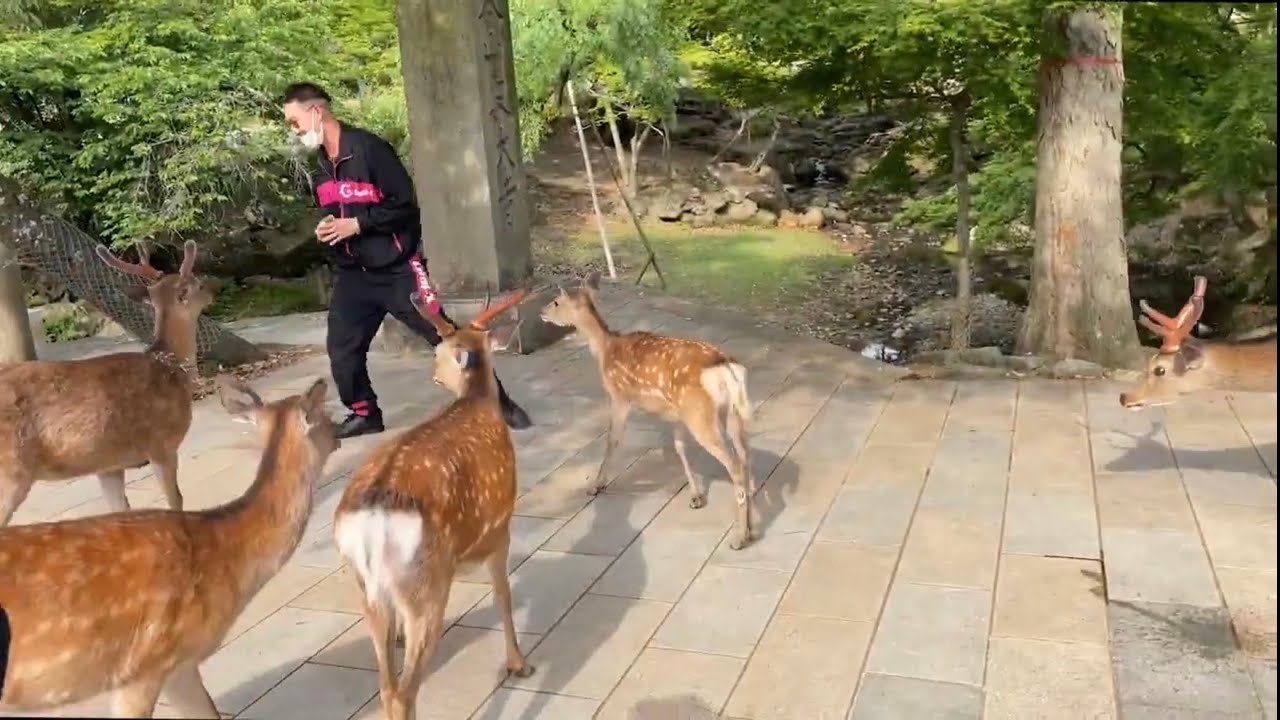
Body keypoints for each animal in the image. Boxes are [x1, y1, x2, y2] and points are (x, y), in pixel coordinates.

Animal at [0, 240, 212, 526]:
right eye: (196, 283)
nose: (212, 290)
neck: (171, 367)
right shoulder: (161, 444)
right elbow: (175, 500)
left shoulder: (109, 465)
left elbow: (120, 510)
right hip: (11, 470)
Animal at [333, 287, 535, 720]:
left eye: (439, 350)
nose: (435, 374)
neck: (475, 403)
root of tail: (372, 520)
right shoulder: (501, 522)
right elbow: (503, 595)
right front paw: (518, 663)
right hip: (426, 585)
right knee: (403, 692)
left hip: (364, 584)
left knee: (384, 685)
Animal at [539, 271, 758, 550]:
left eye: (556, 301)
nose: (541, 311)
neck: (605, 349)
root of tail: (726, 367)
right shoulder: (677, 414)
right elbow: (679, 447)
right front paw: (696, 496)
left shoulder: (619, 396)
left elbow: (613, 439)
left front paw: (596, 486)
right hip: (729, 413)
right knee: (745, 455)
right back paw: (751, 526)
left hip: (701, 415)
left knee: (735, 464)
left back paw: (739, 538)